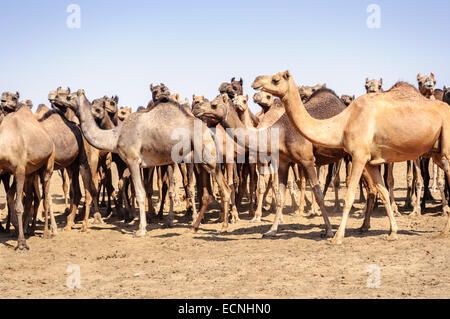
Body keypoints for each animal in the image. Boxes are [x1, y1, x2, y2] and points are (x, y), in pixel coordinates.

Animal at [0, 104, 55, 250]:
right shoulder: (8, 171)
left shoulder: (19, 169)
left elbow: (19, 205)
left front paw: (21, 243)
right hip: (28, 172)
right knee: (20, 196)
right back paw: (23, 228)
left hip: (47, 166)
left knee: (44, 198)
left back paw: (46, 233)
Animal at [62, 89, 232, 236]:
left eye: (69, 97)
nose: (57, 98)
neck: (115, 136)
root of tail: (208, 130)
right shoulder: (135, 164)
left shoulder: (132, 160)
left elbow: (139, 192)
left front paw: (141, 230)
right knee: (209, 193)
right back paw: (194, 227)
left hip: (206, 156)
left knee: (224, 189)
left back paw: (223, 227)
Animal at [251, 70, 450, 245]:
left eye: (276, 80)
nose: (255, 81)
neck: (342, 123)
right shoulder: (370, 161)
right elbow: (383, 192)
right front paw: (393, 233)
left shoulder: (358, 156)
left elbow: (350, 195)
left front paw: (337, 237)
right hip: (437, 153)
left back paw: (443, 230)